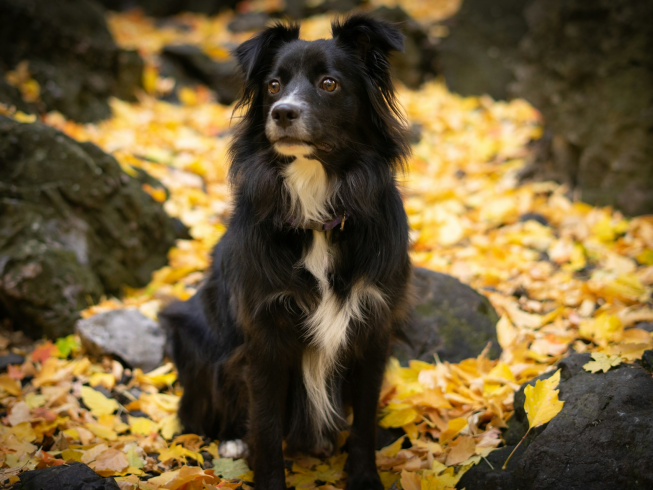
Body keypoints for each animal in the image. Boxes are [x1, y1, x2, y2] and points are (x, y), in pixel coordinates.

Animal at [160, 15, 410, 490]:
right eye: (274, 85)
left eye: (329, 83)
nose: (282, 113)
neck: (316, 211)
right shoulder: (265, 335)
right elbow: (266, 424)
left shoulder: (374, 326)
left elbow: (365, 420)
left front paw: (364, 477)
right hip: (191, 331)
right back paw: (231, 441)